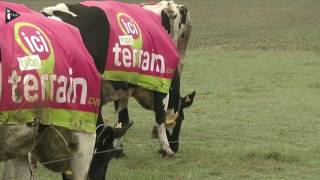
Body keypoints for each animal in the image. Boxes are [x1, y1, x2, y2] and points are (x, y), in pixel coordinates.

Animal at [41, 0, 194, 158]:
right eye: (181, 118)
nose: (176, 146)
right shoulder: (161, 84)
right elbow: (160, 117)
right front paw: (166, 148)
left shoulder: (124, 87)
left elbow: (123, 119)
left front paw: (117, 148)